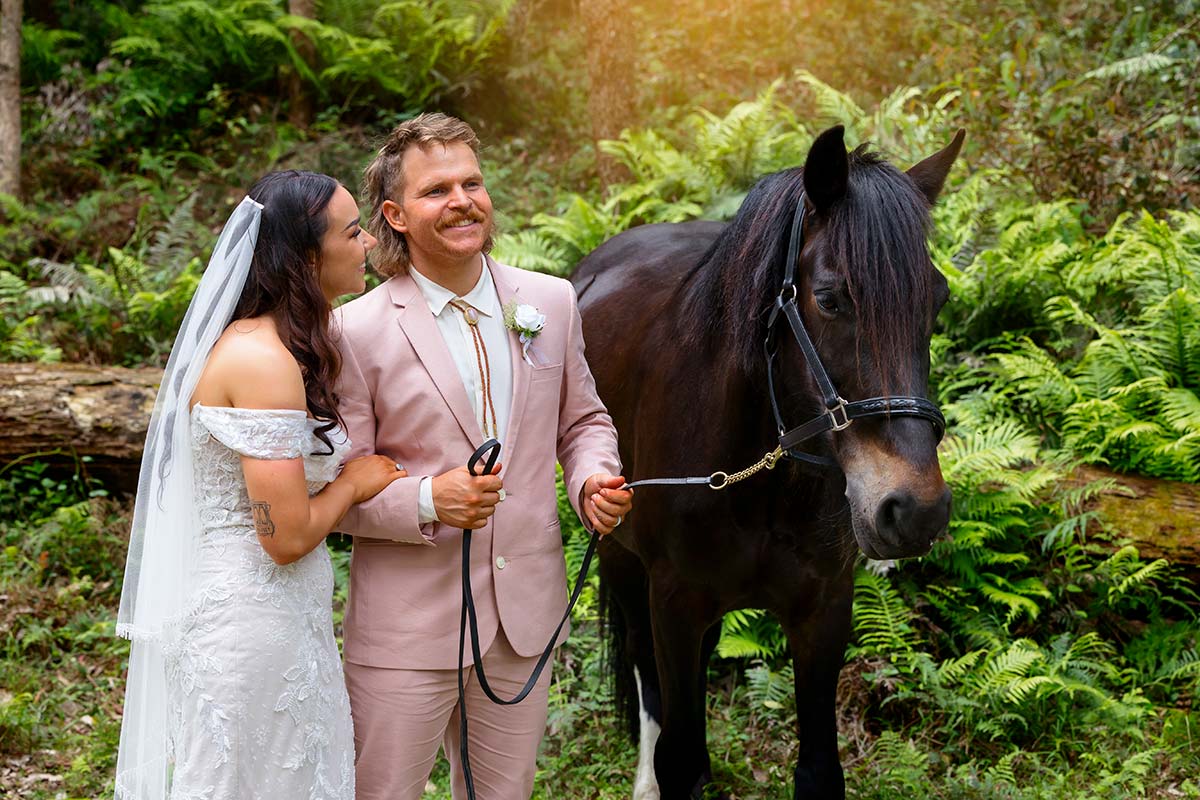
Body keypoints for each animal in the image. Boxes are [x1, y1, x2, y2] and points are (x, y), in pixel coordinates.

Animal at [571, 126, 964, 800]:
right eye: (829, 299)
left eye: (936, 301)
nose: (916, 510)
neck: (757, 480)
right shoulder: (673, 603)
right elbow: (676, 751)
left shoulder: (824, 609)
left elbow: (817, 770)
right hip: (620, 558)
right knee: (647, 676)